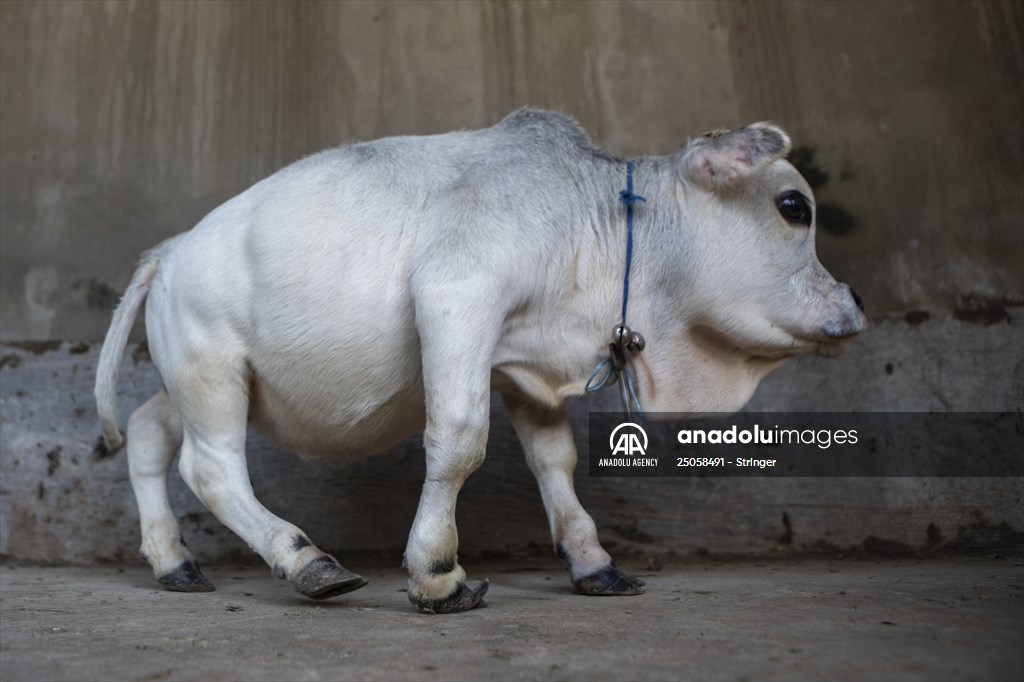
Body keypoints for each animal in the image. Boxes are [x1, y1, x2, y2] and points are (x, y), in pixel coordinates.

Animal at [94, 108, 865, 614]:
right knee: (212, 469)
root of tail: (170, 249)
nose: (856, 301)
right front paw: (438, 572)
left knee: (148, 434)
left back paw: (173, 561)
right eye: (793, 206)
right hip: (212, 373)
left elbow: (554, 460)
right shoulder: (457, 294)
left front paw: (592, 562)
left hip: (197, 382)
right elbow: (460, 441)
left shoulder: (520, 363)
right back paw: (306, 561)